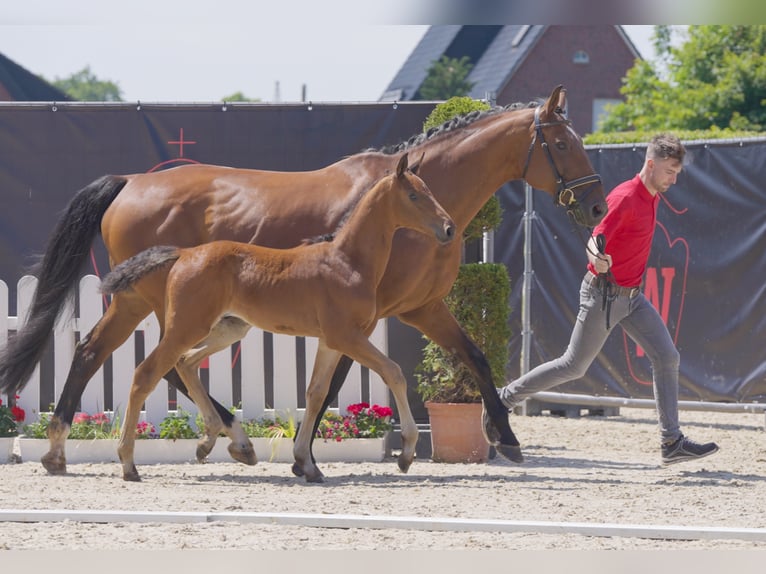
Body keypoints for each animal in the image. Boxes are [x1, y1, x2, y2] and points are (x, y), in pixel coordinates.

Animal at [0, 84, 608, 472]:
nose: (597, 206)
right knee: (123, 359)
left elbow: (475, 358)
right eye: (561, 144)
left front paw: (506, 437)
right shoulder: (372, 316)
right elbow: (337, 384)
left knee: (146, 361)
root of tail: (129, 182)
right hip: (146, 301)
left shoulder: (420, 308)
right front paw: (306, 454)